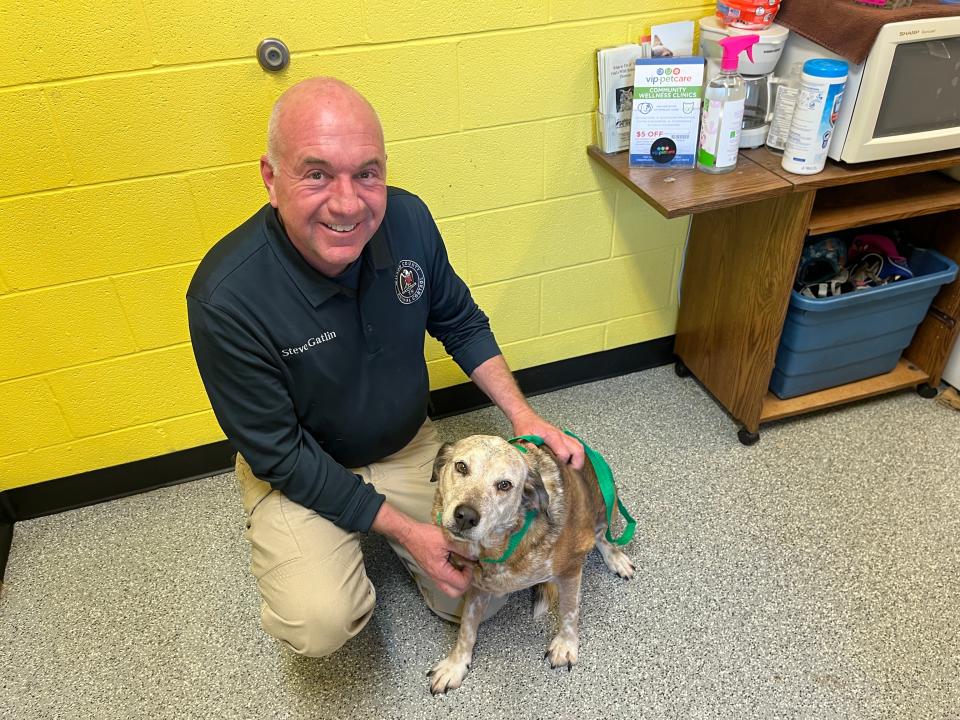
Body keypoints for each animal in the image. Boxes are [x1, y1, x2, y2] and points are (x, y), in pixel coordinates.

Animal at [426, 434, 632, 692]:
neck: (502, 546)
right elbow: (466, 628)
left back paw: (616, 557)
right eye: (461, 467)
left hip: (606, 502)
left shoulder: (571, 569)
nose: (466, 517)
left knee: (602, 535)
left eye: (505, 485)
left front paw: (566, 645)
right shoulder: (478, 587)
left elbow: (569, 611)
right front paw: (456, 664)